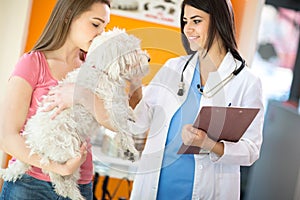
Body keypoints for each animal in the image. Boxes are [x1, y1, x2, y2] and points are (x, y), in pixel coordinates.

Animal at [0, 27, 149, 200]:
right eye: (135, 51)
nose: (149, 58)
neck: (100, 70)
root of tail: (33, 145)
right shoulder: (111, 108)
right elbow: (123, 129)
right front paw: (132, 149)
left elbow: (126, 114)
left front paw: (132, 115)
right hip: (67, 150)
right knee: (52, 171)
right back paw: (70, 192)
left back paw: (73, 193)